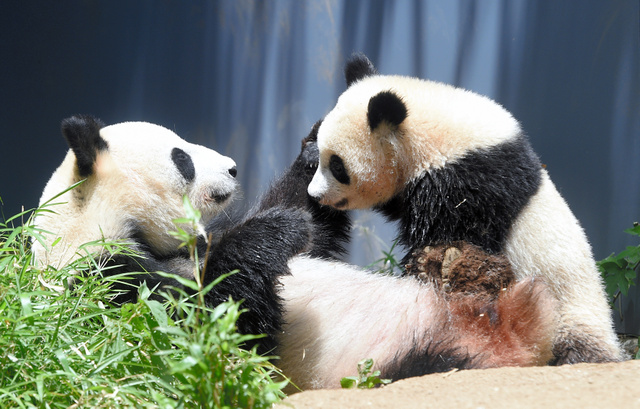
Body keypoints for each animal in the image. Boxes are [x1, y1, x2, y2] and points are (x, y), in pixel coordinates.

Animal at [37, 114, 560, 388]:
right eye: (181, 158)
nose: (231, 168)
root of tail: (509, 334)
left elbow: (314, 230)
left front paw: (315, 148)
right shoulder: (106, 282)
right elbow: (211, 333)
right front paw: (274, 231)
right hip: (384, 366)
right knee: (426, 369)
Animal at [308, 53, 624, 364]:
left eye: (338, 166)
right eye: (324, 155)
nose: (315, 194)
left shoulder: (469, 185)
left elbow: (452, 235)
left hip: (571, 313)